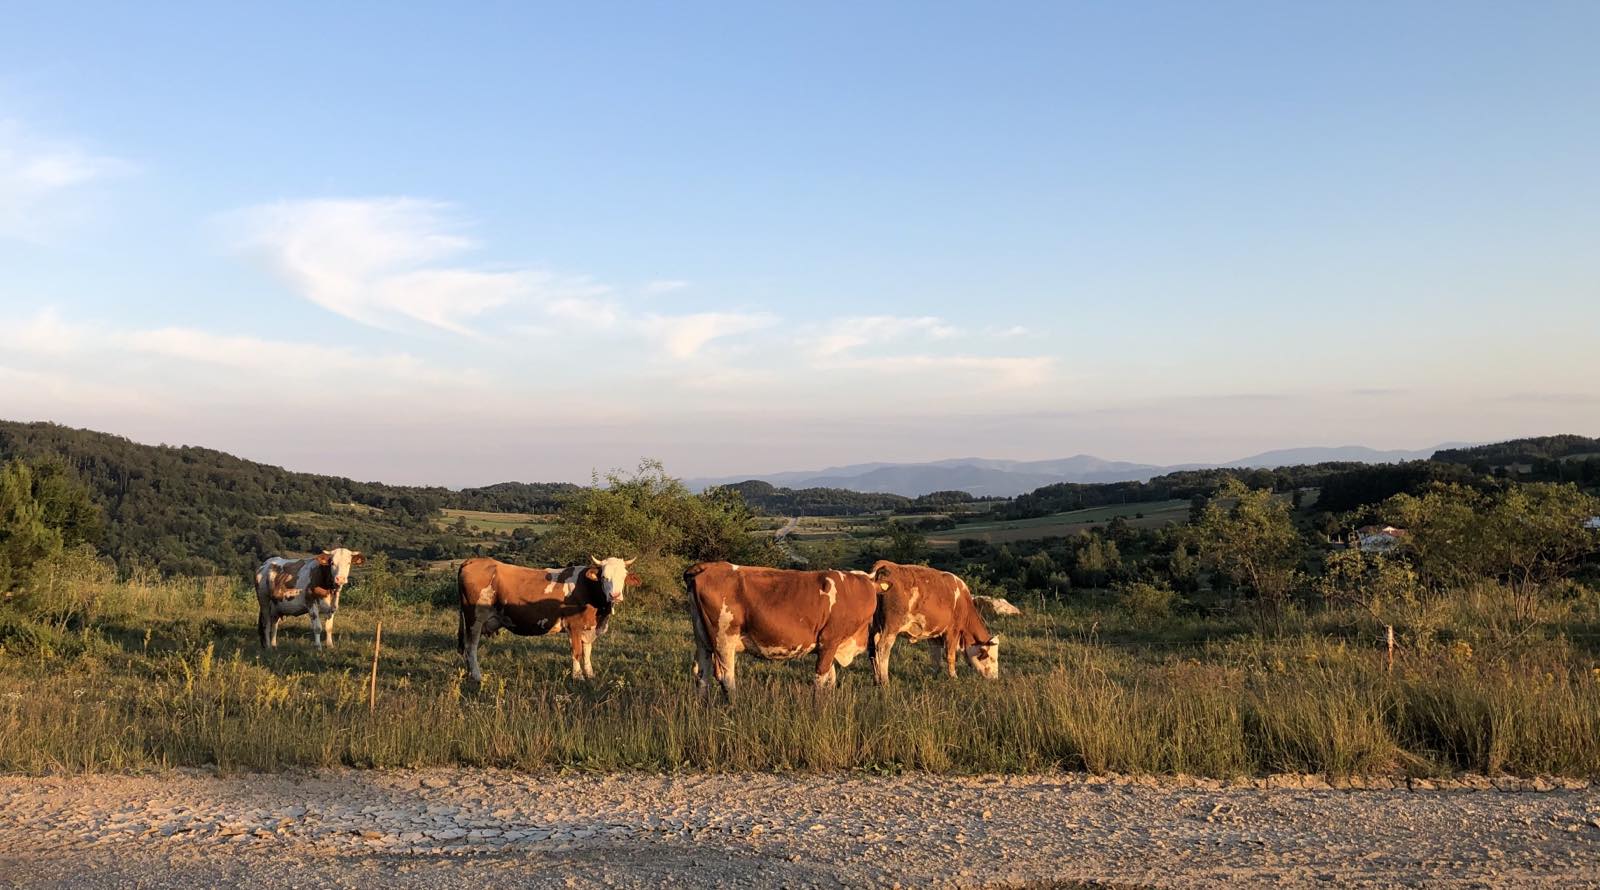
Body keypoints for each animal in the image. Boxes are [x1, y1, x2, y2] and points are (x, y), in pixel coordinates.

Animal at [457, 557, 636, 681]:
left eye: (624, 576)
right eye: (604, 577)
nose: (615, 595)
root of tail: (473, 560)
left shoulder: (588, 628)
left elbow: (587, 652)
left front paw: (590, 675)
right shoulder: (574, 626)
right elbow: (577, 652)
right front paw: (578, 677)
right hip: (475, 619)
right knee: (471, 647)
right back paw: (477, 676)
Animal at [678, 563, 876, 701]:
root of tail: (708, 566)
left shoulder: (828, 647)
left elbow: (830, 679)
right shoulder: (829, 642)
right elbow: (820, 681)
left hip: (703, 640)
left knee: (702, 676)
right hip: (724, 639)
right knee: (726, 677)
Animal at [864, 560, 998, 685]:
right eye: (990, 657)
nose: (995, 678)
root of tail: (886, 564)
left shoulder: (934, 634)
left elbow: (935, 656)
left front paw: (935, 675)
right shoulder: (952, 631)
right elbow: (950, 656)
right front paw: (954, 678)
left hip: (874, 627)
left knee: (872, 650)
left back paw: (876, 680)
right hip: (891, 627)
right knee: (883, 648)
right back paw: (885, 681)